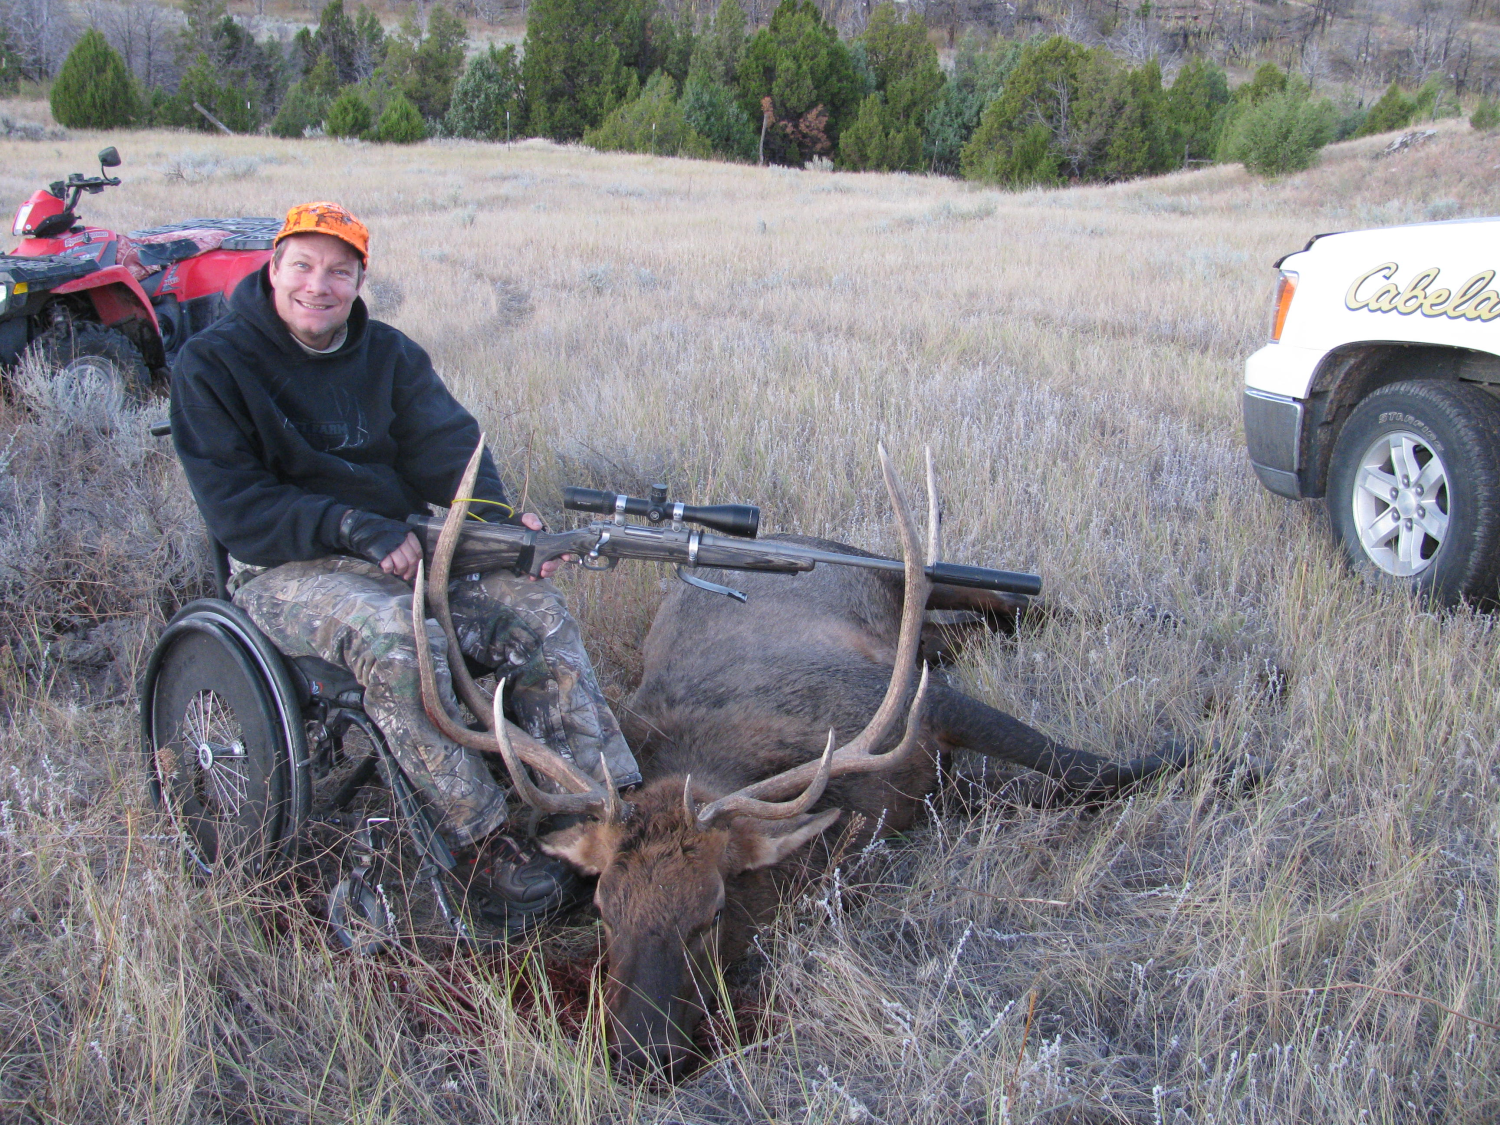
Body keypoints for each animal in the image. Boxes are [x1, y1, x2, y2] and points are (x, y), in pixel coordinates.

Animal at [411, 444, 1193, 1076]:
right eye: (604, 908)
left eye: (712, 910)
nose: (640, 1054)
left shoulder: (916, 705)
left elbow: (1083, 765)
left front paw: (1203, 752)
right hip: (925, 632)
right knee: (969, 630)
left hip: (905, 580)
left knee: (1011, 602)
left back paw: (1156, 618)